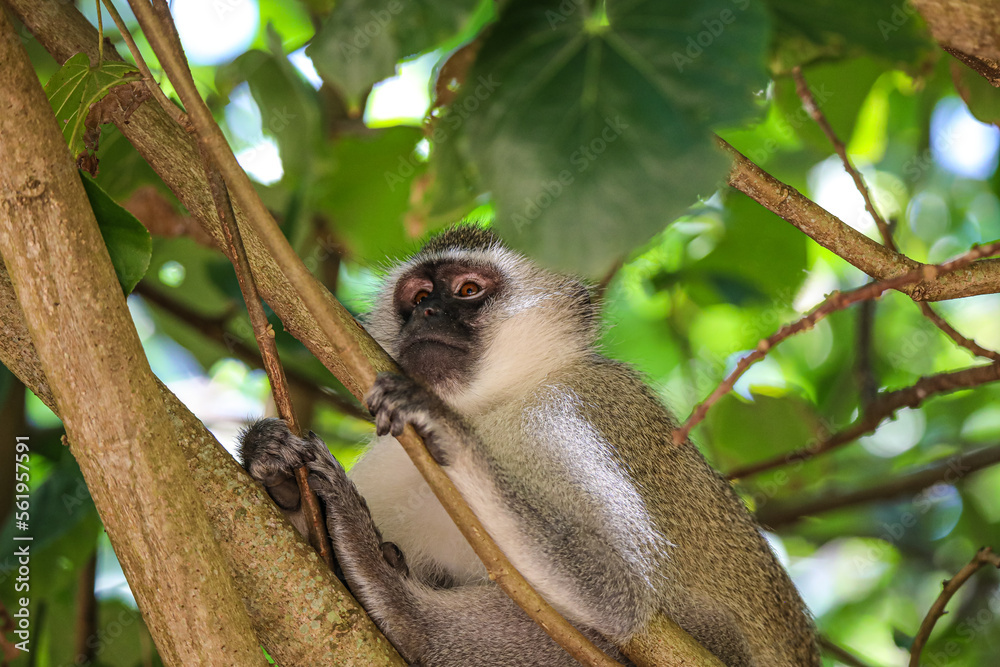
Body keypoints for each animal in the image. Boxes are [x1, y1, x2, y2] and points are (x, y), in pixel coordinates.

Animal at [239, 225, 820, 667]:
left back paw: (399, 605)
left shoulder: (564, 414)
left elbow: (618, 594)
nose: (426, 315)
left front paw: (444, 428)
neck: (492, 406)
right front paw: (275, 469)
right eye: (420, 298)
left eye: (468, 290)